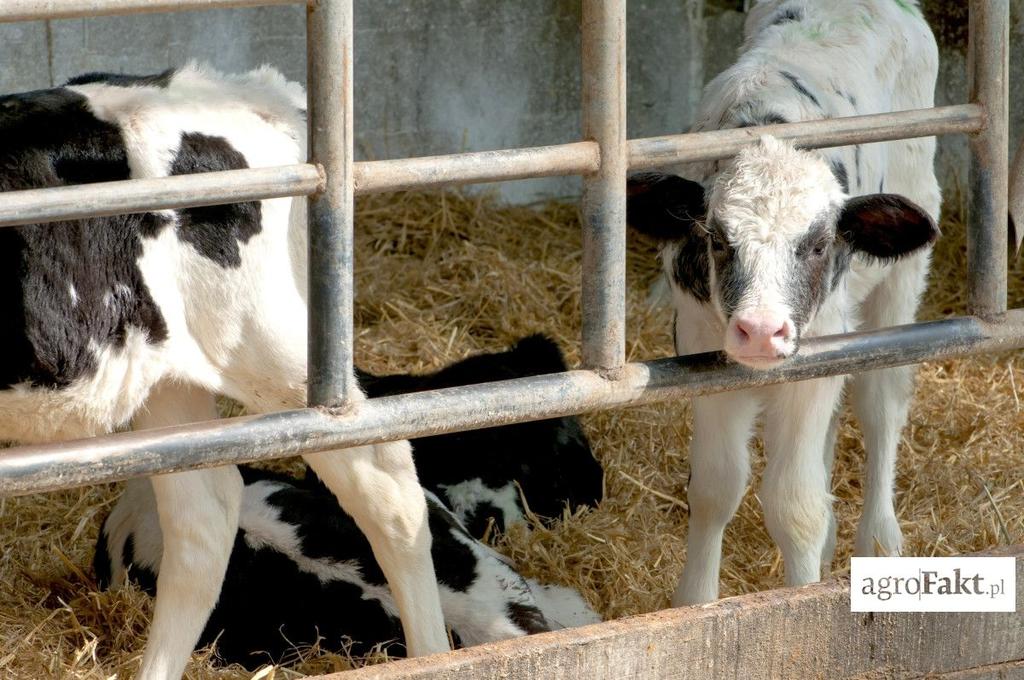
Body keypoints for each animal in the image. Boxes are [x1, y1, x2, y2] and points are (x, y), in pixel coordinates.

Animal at [622, 0, 937, 606]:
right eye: (717, 239)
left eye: (817, 245)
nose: (763, 332)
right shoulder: (700, 344)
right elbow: (716, 487)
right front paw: (695, 604)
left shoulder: (817, 357)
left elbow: (795, 507)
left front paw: (802, 602)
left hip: (901, 274)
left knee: (881, 403)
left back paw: (879, 539)